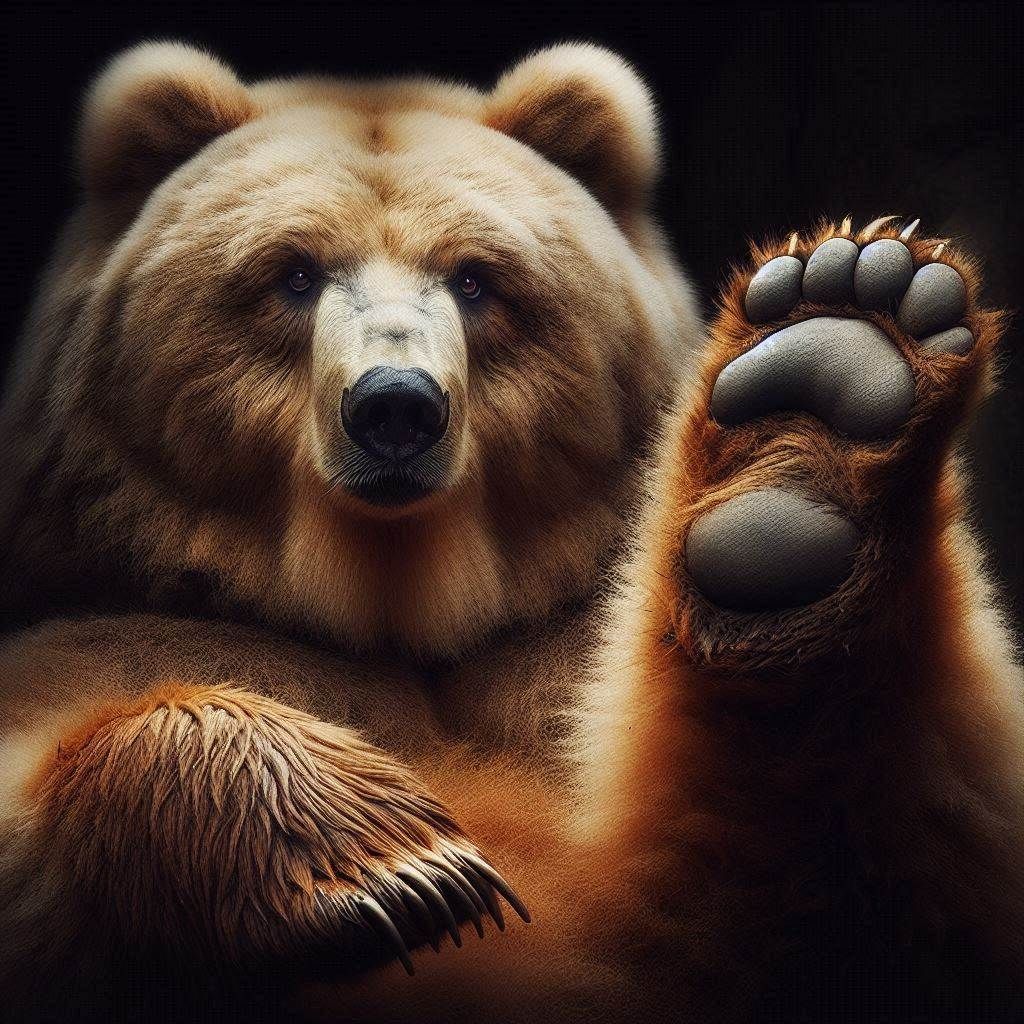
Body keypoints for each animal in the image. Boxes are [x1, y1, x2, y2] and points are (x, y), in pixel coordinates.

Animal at [0, 38, 1022, 1023]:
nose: (396, 407)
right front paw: (400, 864)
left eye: (476, 278)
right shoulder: (103, 636)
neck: (401, 601)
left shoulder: (560, 675)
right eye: (292, 272)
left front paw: (837, 352)